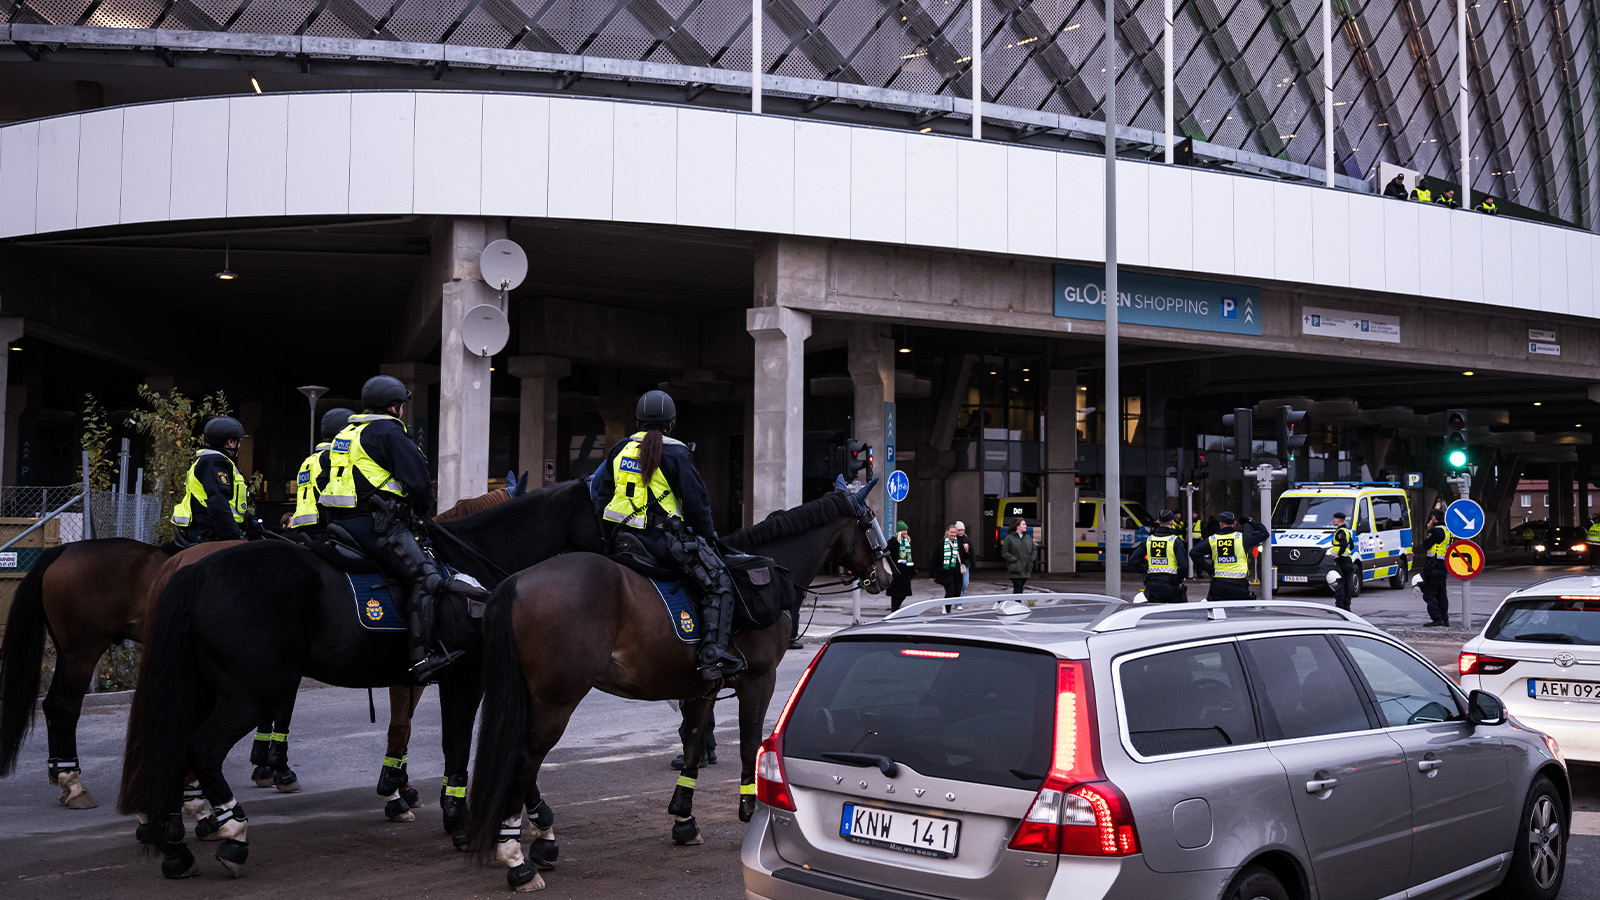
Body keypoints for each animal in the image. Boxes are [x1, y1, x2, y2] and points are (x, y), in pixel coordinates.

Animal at [467, 480, 902, 883]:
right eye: (870, 522)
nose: (887, 575)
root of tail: (515, 583)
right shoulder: (759, 679)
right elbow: (748, 742)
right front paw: (748, 807)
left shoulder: (702, 687)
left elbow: (692, 742)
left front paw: (683, 819)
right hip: (557, 698)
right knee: (526, 759)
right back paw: (517, 857)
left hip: (533, 696)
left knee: (520, 757)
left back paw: (538, 838)